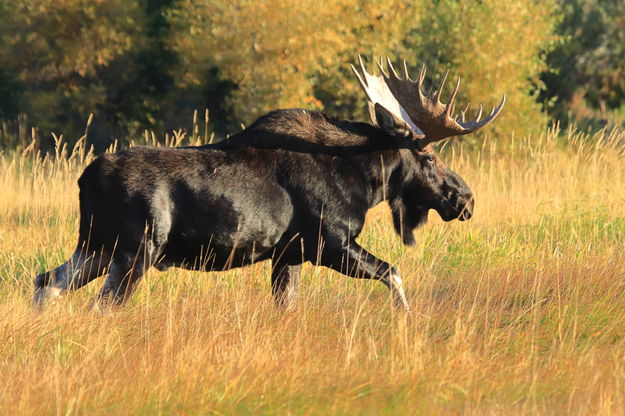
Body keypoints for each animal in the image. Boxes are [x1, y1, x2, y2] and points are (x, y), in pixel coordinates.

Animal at [33, 57, 502, 312]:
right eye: (429, 157)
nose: (467, 198)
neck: (365, 183)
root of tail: (84, 179)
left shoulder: (287, 254)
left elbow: (288, 306)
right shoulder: (330, 243)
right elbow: (394, 274)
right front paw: (407, 324)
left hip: (96, 245)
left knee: (45, 281)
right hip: (135, 250)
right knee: (100, 305)